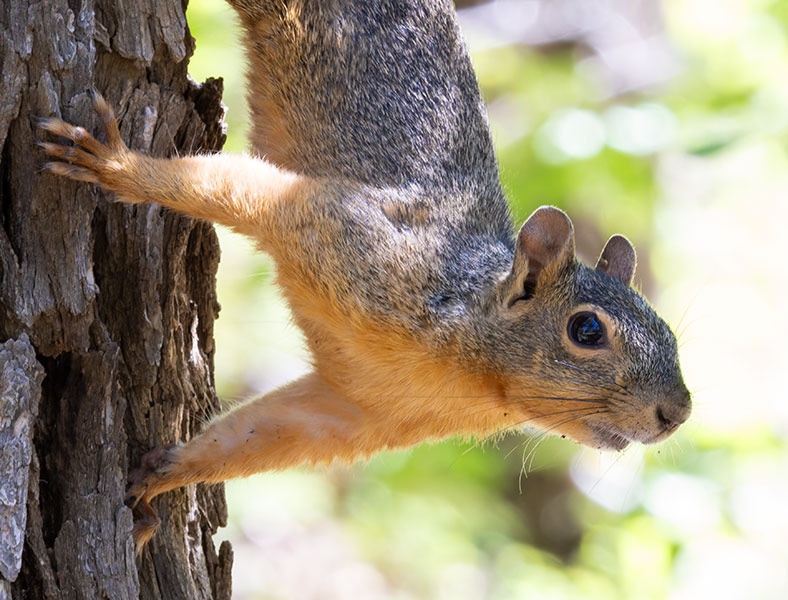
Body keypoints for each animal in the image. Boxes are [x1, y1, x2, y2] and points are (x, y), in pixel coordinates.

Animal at [37, 0, 691, 548]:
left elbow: (256, 435)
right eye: (586, 331)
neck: (471, 375)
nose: (677, 413)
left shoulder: (359, 411)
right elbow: (233, 189)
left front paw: (163, 475)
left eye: (671, 334)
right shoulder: (336, 227)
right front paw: (120, 165)